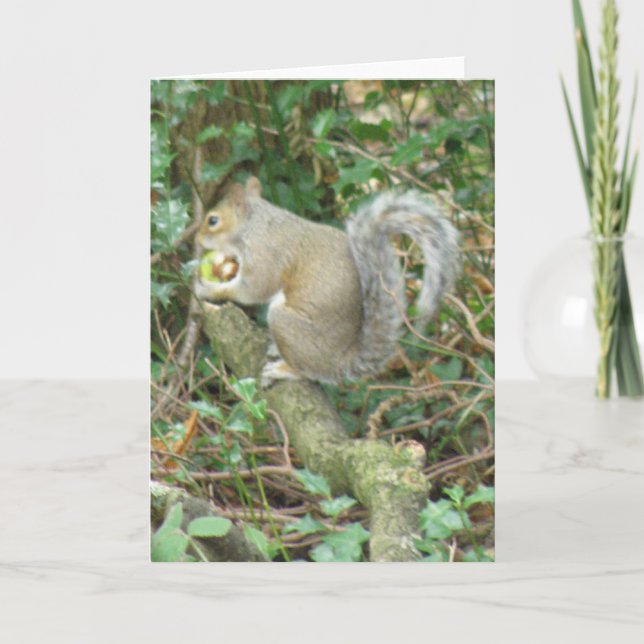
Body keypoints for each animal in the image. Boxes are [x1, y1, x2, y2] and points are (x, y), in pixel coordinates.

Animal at [195, 176, 459, 385]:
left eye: (213, 220)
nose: (196, 239)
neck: (255, 225)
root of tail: (338, 361)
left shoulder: (266, 255)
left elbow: (252, 289)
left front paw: (209, 289)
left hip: (285, 324)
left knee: (307, 371)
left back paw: (284, 369)